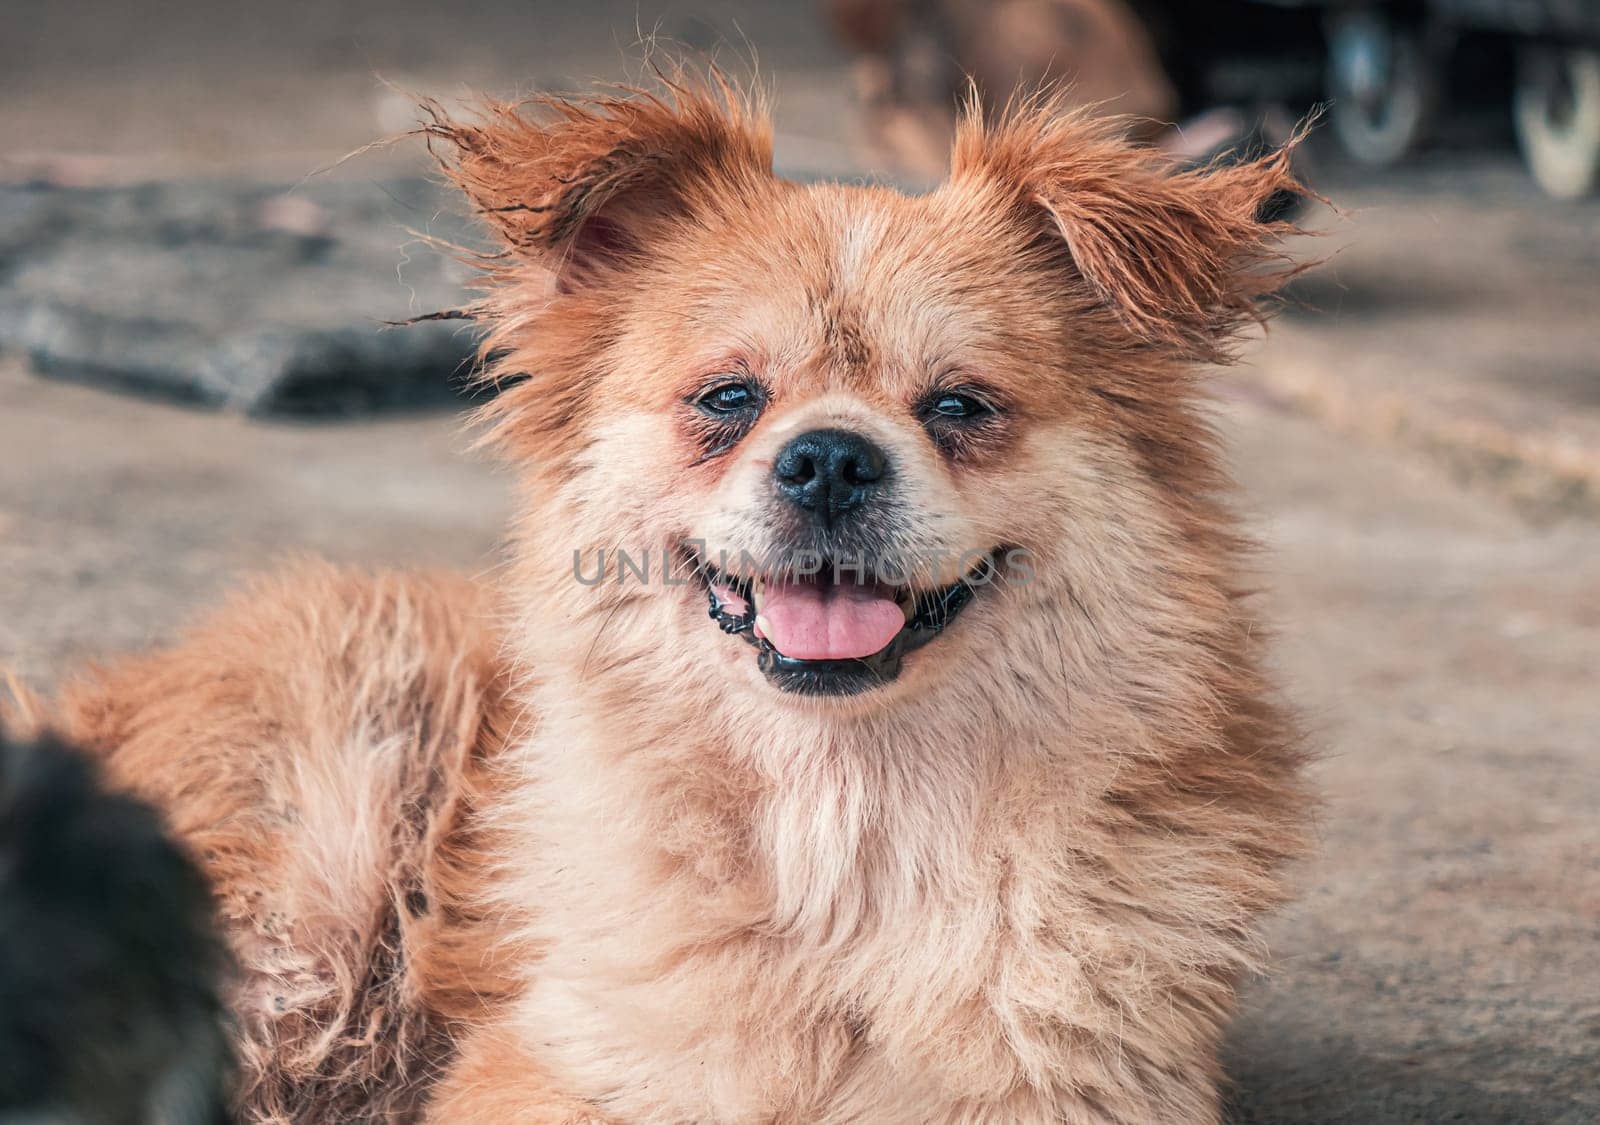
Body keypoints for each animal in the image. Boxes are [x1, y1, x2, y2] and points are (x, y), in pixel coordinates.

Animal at [50, 79, 1312, 1125]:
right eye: (728, 398)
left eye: (959, 406)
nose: (829, 461)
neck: (841, 835)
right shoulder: (551, 1062)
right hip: (304, 935)